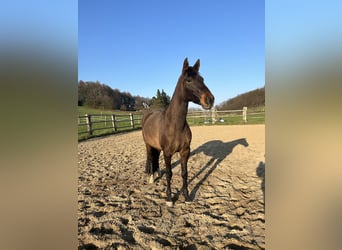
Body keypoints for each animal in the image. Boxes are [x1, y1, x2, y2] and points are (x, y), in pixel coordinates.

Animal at [142, 57, 214, 206]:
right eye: (188, 80)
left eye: (202, 79)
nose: (209, 99)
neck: (175, 125)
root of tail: (148, 115)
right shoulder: (168, 153)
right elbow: (170, 174)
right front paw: (169, 199)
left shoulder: (185, 151)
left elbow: (184, 173)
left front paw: (186, 197)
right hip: (148, 145)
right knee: (151, 159)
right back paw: (151, 178)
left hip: (157, 147)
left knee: (156, 159)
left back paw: (158, 173)